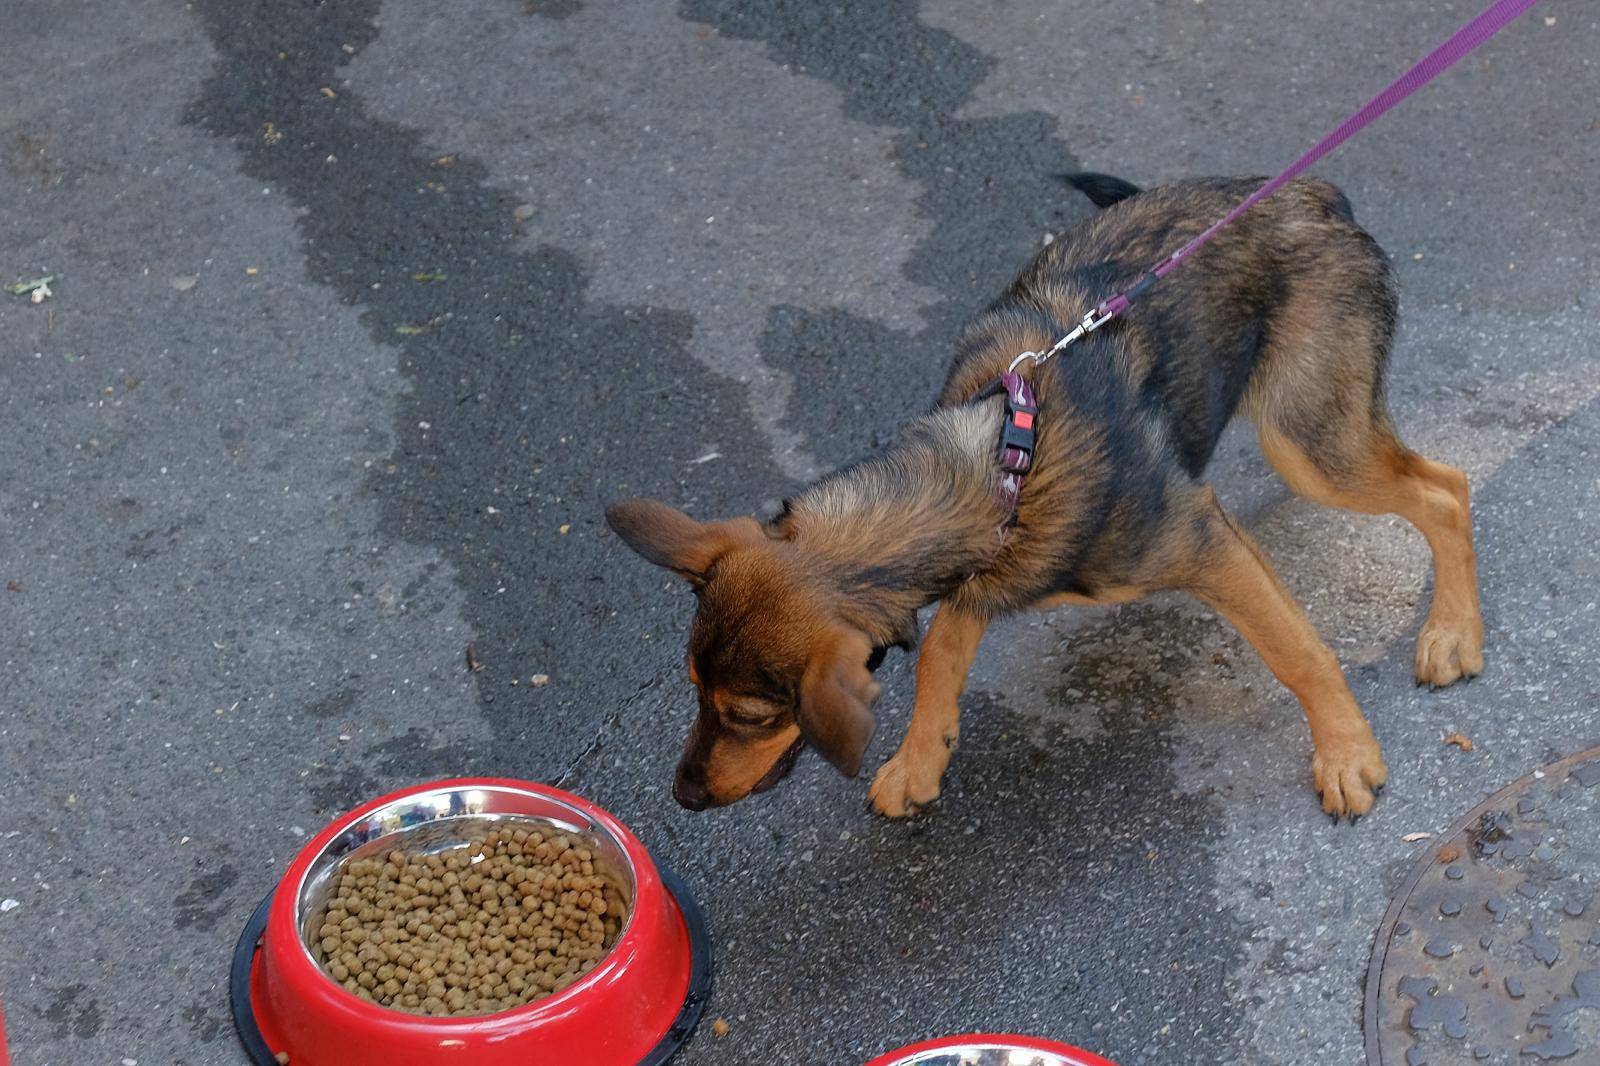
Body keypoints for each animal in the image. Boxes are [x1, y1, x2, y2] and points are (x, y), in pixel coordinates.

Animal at [604, 176, 1478, 819]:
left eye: (750, 715)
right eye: (694, 691)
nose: (682, 798)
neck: (1003, 456)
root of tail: (1310, 193)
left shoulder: (1202, 545)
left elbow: (1296, 651)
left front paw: (1346, 754)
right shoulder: (986, 567)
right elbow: (940, 653)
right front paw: (920, 757)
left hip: (1307, 442)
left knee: (1446, 489)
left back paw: (1452, 634)